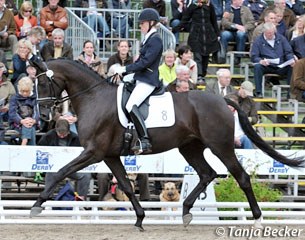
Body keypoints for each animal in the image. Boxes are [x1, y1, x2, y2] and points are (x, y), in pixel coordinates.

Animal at [30, 59, 304, 231]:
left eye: (42, 83)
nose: (42, 115)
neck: (93, 97)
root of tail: (222, 99)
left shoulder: (94, 152)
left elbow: (61, 172)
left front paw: (36, 206)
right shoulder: (109, 155)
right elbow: (126, 186)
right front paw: (140, 219)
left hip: (221, 146)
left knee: (241, 177)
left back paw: (257, 220)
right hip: (190, 147)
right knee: (207, 174)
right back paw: (186, 211)